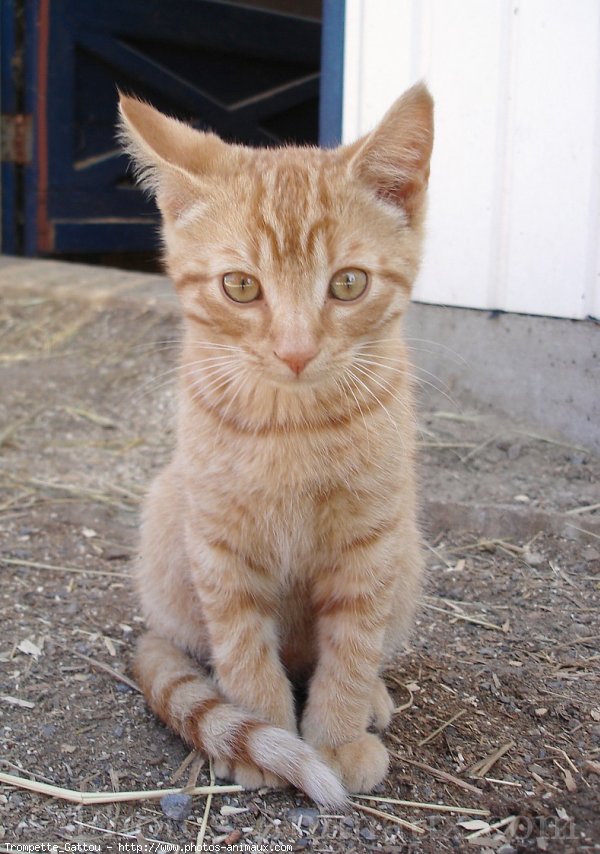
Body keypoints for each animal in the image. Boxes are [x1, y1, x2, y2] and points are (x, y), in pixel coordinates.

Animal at [119, 82, 434, 808]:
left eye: (348, 283)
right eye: (240, 286)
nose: (295, 351)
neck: (293, 425)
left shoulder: (371, 541)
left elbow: (351, 645)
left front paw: (336, 737)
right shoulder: (218, 543)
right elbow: (241, 646)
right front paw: (264, 733)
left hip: (407, 550)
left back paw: (371, 697)